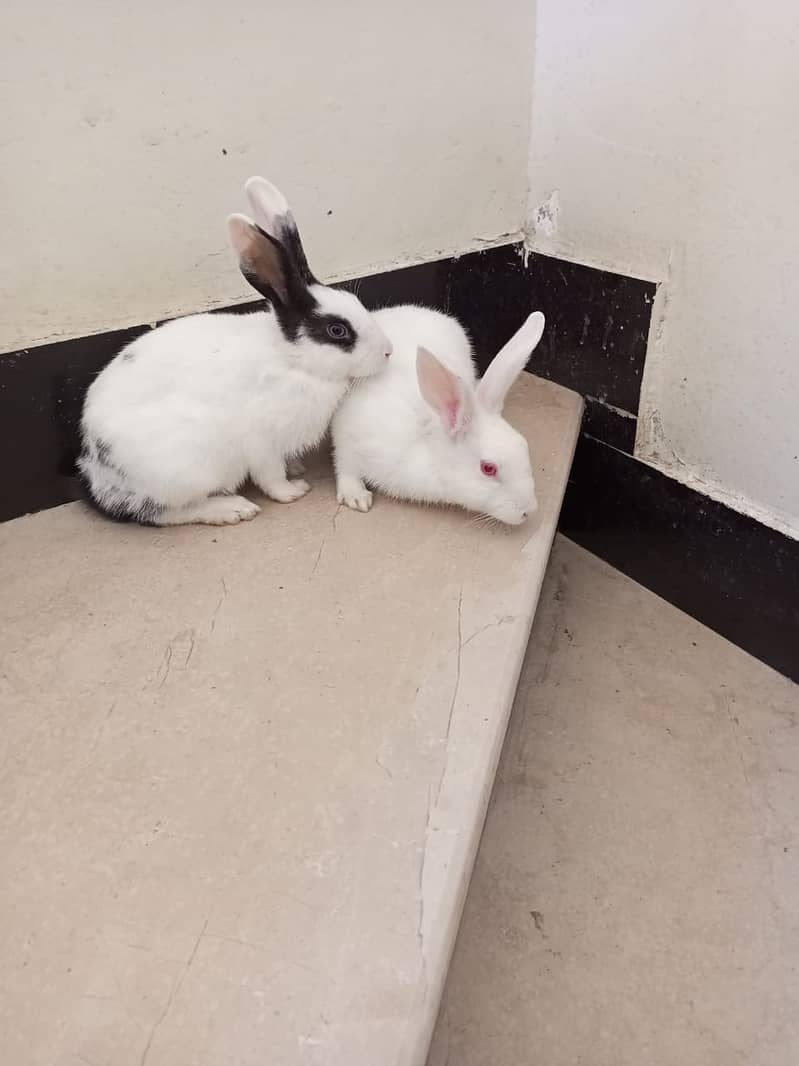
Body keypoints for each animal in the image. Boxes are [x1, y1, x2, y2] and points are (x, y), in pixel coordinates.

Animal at [78, 177, 393, 526]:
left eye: (356, 303)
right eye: (337, 330)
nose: (388, 351)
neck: (293, 360)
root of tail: (97, 476)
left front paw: (297, 467)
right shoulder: (262, 442)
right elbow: (271, 476)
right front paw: (293, 490)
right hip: (189, 468)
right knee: (163, 512)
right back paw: (232, 509)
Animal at [331, 307, 546, 525]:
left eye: (524, 446)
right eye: (488, 468)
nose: (529, 511)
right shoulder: (349, 438)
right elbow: (346, 466)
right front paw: (356, 498)